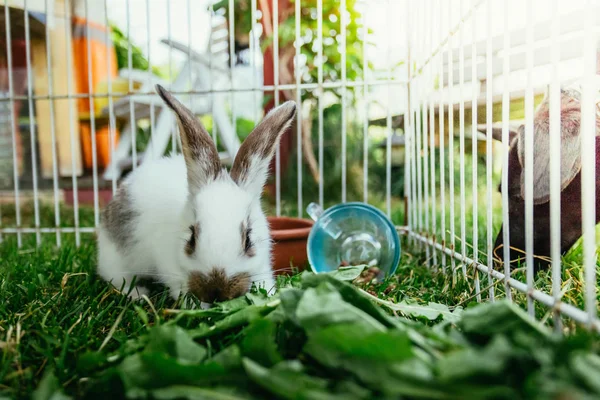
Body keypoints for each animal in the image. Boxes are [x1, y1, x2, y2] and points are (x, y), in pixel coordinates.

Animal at [96, 84, 298, 304]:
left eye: (248, 240)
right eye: (191, 238)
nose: (216, 291)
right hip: (115, 258)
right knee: (116, 277)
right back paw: (137, 293)